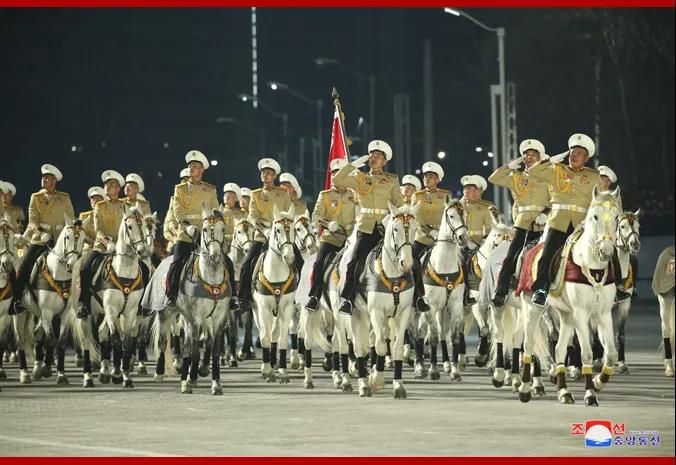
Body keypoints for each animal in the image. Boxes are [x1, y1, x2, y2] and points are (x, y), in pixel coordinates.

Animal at [14, 218, 86, 384]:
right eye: (67, 237)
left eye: (83, 239)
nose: (72, 265)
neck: (59, 276)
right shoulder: (47, 313)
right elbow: (51, 340)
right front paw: (47, 368)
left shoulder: (66, 314)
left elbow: (61, 342)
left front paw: (61, 373)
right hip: (21, 313)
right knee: (20, 341)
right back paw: (24, 373)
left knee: (36, 333)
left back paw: (36, 368)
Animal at [252, 205, 298, 382]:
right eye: (277, 230)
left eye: (294, 229)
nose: (289, 256)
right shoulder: (263, 308)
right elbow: (264, 337)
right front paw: (266, 370)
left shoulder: (286, 308)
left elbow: (282, 339)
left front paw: (283, 372)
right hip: (257, 311)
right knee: (265, 333)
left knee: (274, 334)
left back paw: (274, 363)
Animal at [418, 196, 470, 380]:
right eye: (451, 215)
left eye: (464, 214)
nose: (463, 237)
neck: (444, 266)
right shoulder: (430, 307)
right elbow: (432, 336)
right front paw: (433, 369)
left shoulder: (455, 306)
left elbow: (453, 337)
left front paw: (455, 370)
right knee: (420, 332)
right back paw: (420, 366)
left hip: (443, 309)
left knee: (441, 333)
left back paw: (446, 364)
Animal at [516, 187, 624, 404]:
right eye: (595, 216)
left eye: (617, 218)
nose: (606, 252)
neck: (592, 265)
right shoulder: (581, 313)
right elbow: (587, 353)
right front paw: (590, 393)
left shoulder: (603, 313)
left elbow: (611, 353)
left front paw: (598, 382)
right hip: (532, 308)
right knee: (529, 344)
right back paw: (525, 389)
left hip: (565, 314)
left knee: (558, 348)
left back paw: (564, 391)